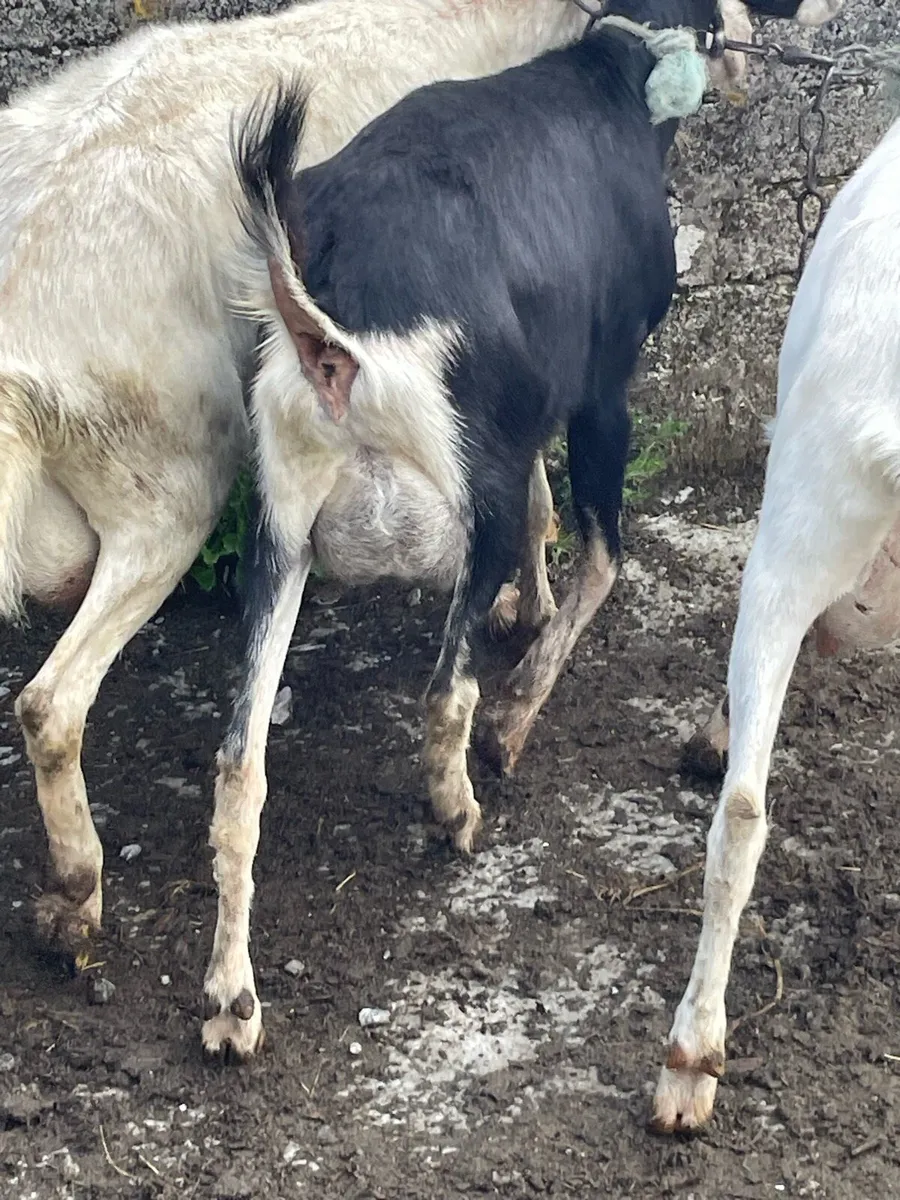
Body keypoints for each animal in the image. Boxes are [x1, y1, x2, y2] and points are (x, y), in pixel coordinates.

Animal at [207, 0, 841, 1061]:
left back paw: (229, 998)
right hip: (475, 491)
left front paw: (527, 609)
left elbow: (554, 518)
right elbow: (603, 556)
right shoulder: (602, 383)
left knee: (240, 760)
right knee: (444, 695)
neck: (617, 76)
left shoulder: (533, 401)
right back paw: (460, 804)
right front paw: (520, 708)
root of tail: (326, 311)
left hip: (284, 528)